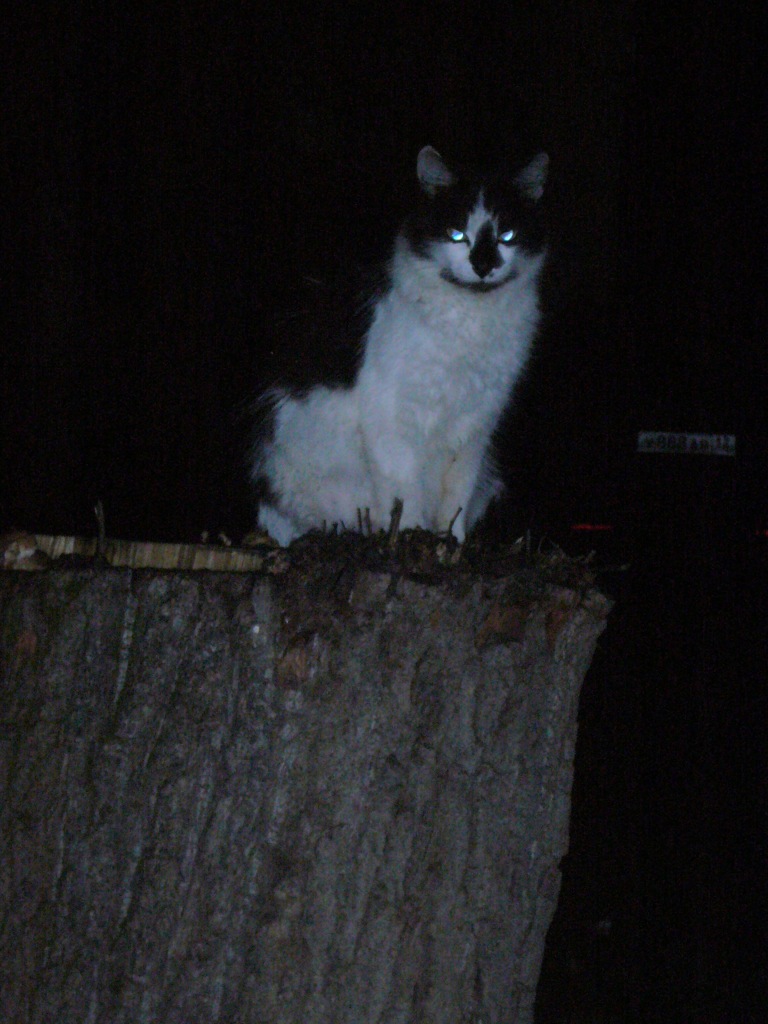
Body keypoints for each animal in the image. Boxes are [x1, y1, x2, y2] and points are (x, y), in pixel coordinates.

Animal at [251, 144, 549, 546]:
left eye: (507, 235)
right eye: (457, 235)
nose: (483, 265)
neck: (470, 321)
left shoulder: (476, 425)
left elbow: (456, 496)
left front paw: (451, 541)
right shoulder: (392, 416)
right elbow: (402, 491)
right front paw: (409, 536)